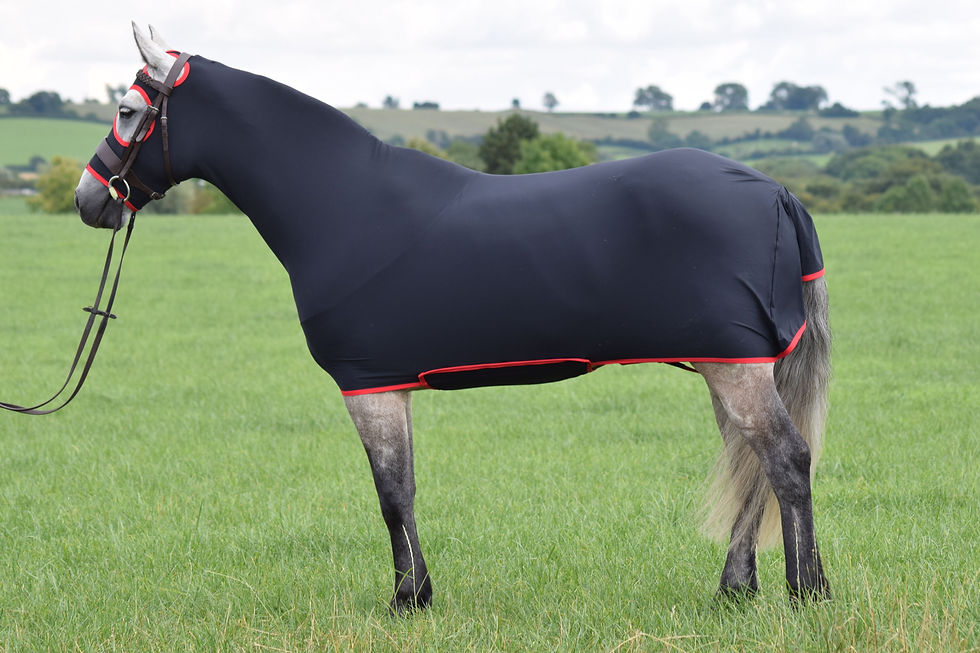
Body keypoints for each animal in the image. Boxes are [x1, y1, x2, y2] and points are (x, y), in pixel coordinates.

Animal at [73, 23, 832, 613]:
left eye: (129, 111)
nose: (89, 198)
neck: (342, 203)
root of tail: (776, 190)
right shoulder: (389, 385)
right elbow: (404, 488)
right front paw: (419, 593)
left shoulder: (368, 386)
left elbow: (389, 494)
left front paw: (406, 599)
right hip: (727, 364)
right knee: (752, 466)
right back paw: (736, 589)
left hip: (735, 368)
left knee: (786, 459)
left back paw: (807, 592)